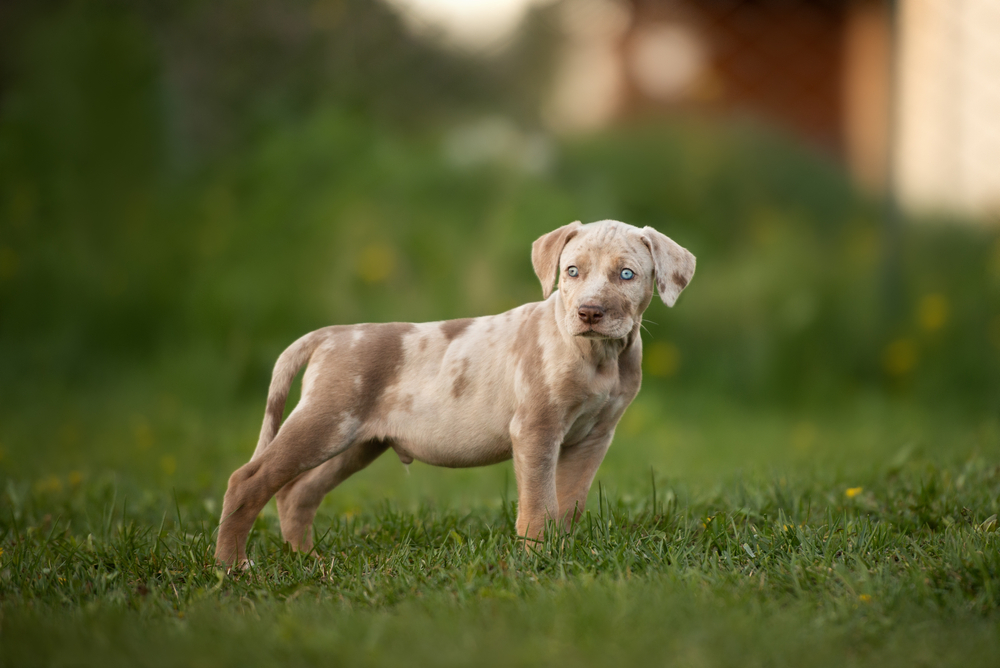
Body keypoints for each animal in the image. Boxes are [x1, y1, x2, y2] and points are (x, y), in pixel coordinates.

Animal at [215, 219, 696, 564]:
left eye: (627, 274)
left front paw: (563, 554)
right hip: (326, 422)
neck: (599, 357)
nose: (589, 312)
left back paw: (308, 560)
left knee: (297, 493)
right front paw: (536, 562)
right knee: (247, 480)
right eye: (571, 272)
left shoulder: (594, 437)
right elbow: (538, 503)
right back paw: (232, 566)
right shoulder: (536, 430)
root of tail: (330, 334)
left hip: (356, 441)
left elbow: (569, 503)